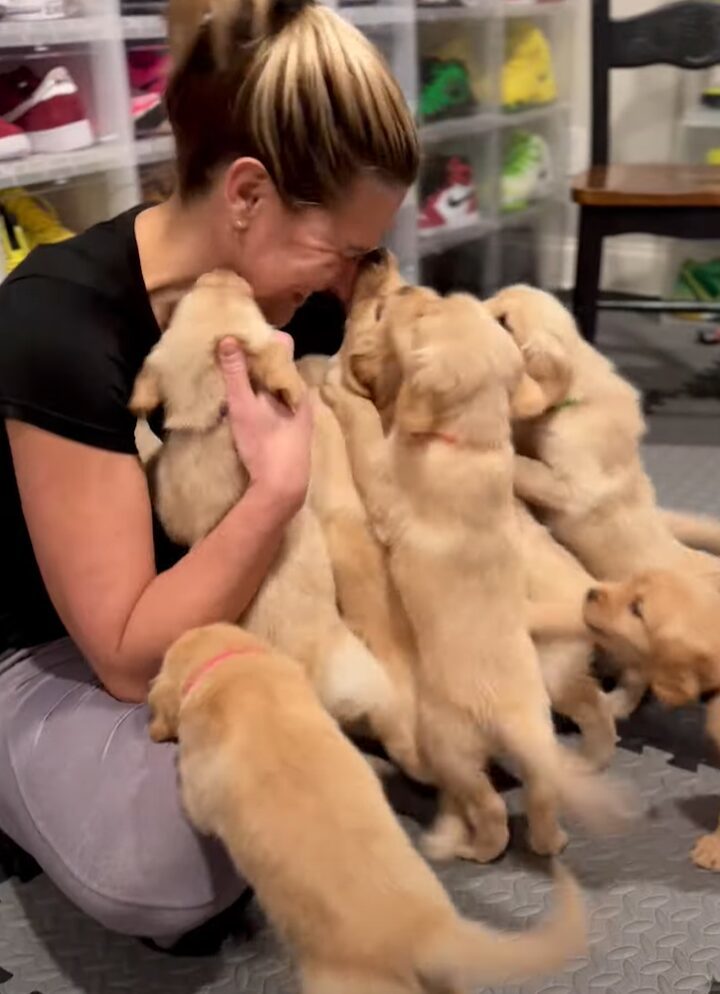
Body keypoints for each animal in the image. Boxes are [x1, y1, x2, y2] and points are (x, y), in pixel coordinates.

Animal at [322, 282, 632, 856]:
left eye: (422, 315)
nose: (408, 286)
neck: (469, 443)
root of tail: (513, 720)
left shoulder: (384, 482)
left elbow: (366, 432)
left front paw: (339, 388)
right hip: (545, 716)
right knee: (546, 789)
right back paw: (553, 835)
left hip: (451, 746)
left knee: (490, 810)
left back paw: (468, 847)